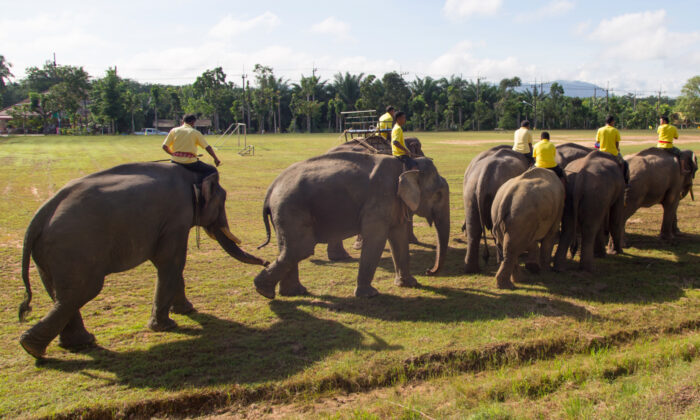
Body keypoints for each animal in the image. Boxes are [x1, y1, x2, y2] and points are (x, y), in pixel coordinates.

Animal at [17, 163, 268, 359]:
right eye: (223, 201)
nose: (265, 261)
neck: (192, 176)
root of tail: (39, 217)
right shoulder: (176, 215)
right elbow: (172, 261)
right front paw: (169, 325)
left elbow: (170, 263)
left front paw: (186, 311)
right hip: (74, 248)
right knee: (81, 292)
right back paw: (36, 347)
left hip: (50, 256)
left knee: (61, 295)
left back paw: (67, 344)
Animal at [254, 152, 450, 298]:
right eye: (439, 194)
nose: (429, 271)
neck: (408, 164)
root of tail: (271, 188)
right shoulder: (380, 198)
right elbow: (376, 239)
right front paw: (369, 294)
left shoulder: (395, 203)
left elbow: (399, 237)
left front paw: (410, 284)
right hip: (291, 208)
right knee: (301, 249)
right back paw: (264, 291)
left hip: (285, 213)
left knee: (289, 249)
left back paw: (292, 292)